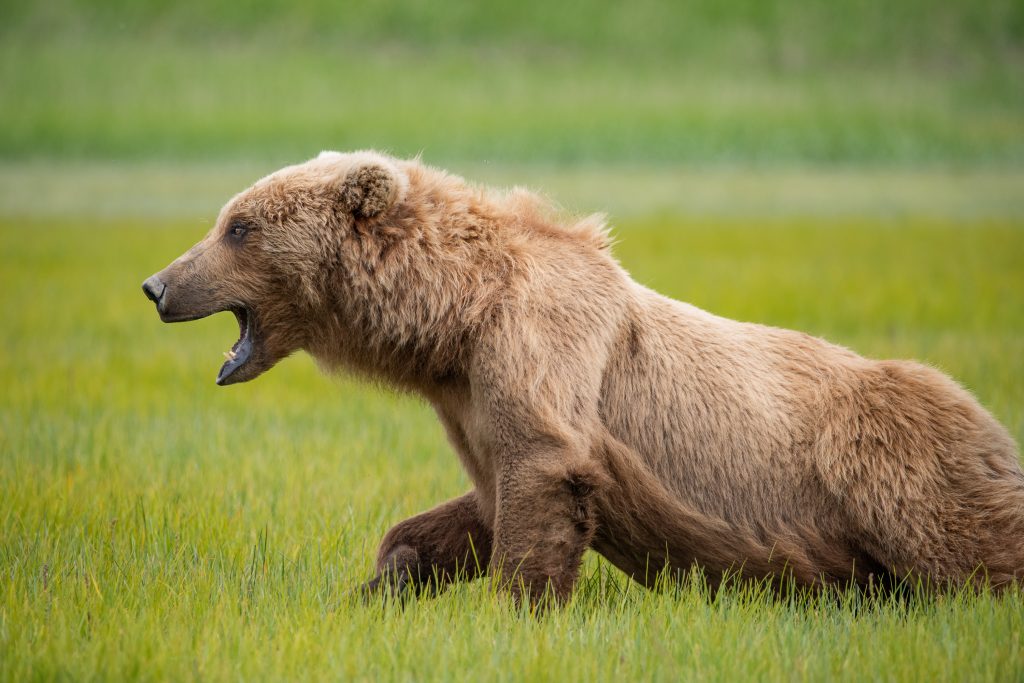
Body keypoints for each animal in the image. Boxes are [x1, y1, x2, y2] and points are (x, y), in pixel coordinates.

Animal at [144, 149, 1024, 602]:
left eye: (238, 226)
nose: (157, 285)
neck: (454, 317)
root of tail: (991, 422)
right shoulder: (470, 396)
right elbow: (481, 499)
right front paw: (387, 577)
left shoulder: (542, 344)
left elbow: (540, 475)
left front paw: (513, 607)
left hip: (885, 451)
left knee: (962, 541)